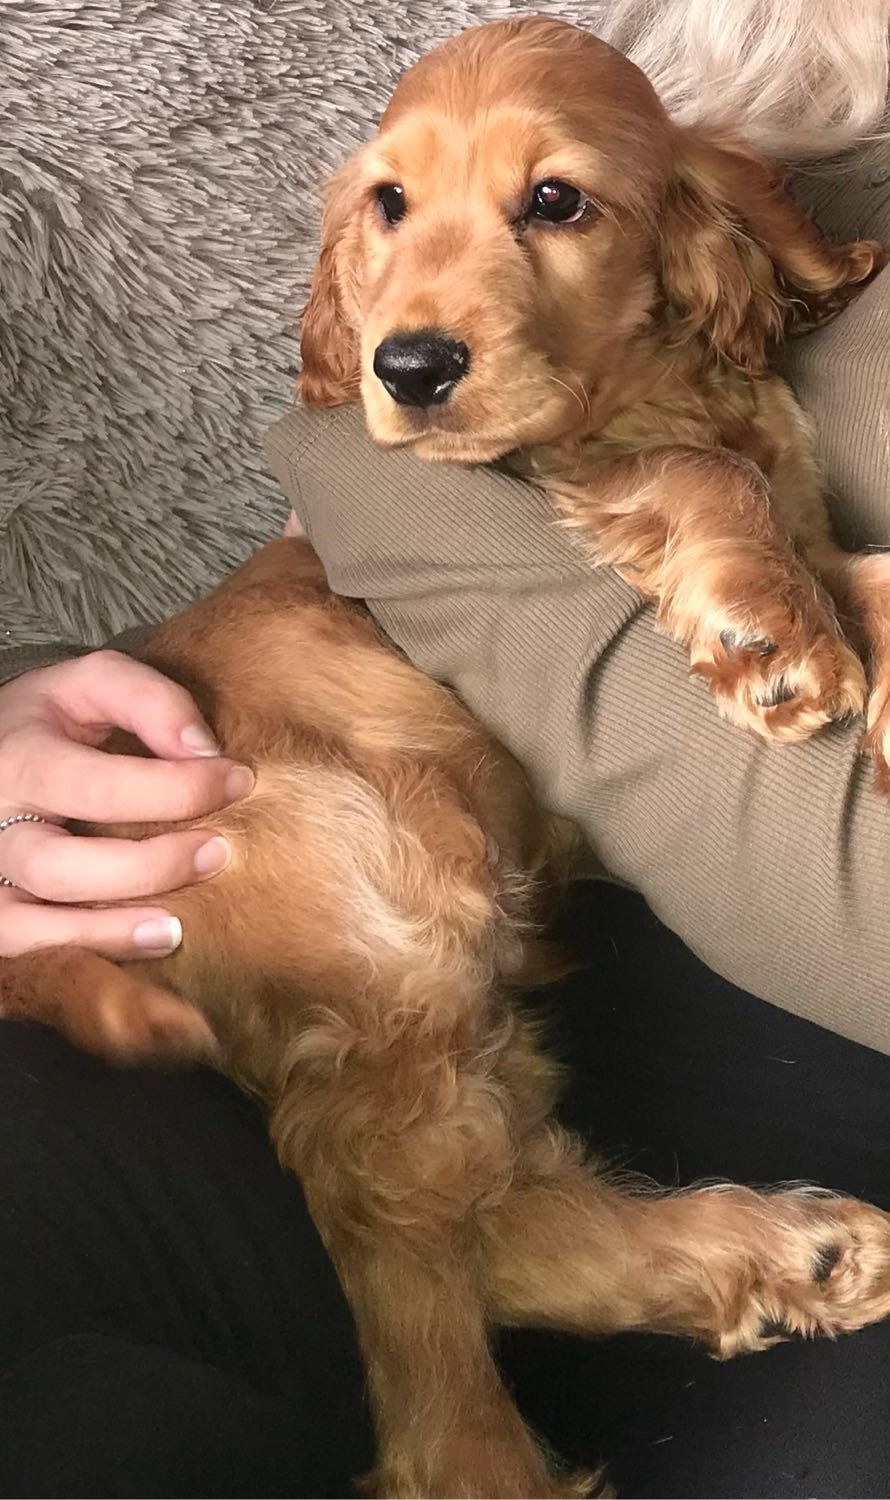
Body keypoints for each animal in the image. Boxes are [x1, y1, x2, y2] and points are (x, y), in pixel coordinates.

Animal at [299, 15, 890, 781]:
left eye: (555, 199)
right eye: (391, 201)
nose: (409, 368)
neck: (648, 394)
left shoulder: (808, 524)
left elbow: (864, 565)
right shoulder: (564, 473)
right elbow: (704, 465)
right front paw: (772, 627)